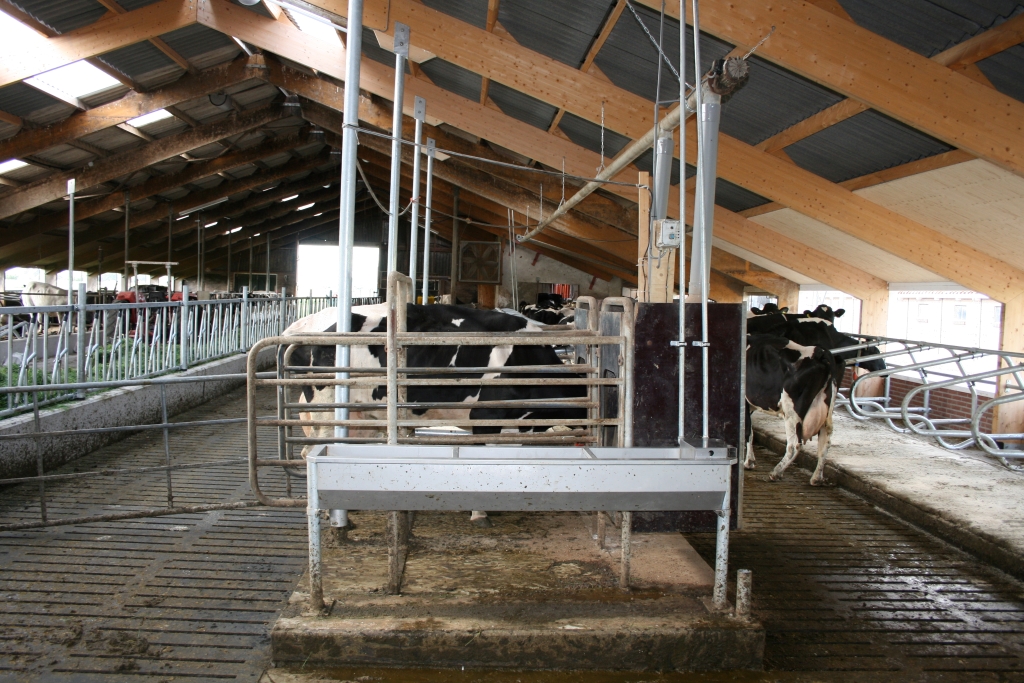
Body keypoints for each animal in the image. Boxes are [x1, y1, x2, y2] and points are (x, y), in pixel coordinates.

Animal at [280, 305, 589, 528]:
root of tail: (301, 324)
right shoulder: (486, 415)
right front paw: (480, 512)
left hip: (357, 416)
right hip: (326, 409)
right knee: (311, 451)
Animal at [741, 335, 843, 485]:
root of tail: (820, 353)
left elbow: (747, 432)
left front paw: (748, 462)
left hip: (792, 411)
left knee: (794, 444)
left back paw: (776, 472)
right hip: (827, 411)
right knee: (825, 442)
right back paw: (816, 478)